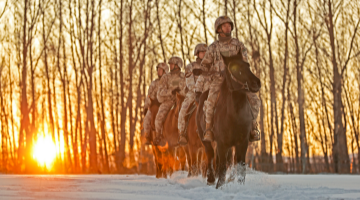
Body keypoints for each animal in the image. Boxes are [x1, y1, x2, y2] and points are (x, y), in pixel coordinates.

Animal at [195, 50, 260, 188]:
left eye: (247, 65)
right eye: (235, 69)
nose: (256, 83)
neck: (234, 114)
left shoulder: (242, 143)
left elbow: (240, 167)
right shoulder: (222, 143)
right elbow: (222, 166)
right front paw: (219, 186)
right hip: (206, 141)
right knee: (210, 156)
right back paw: (211, 179)